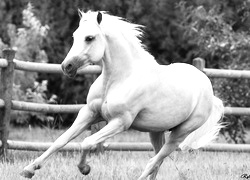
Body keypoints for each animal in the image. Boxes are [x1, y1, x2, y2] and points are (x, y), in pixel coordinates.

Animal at [20, 10, 224, 179]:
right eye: (75, 36)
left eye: (89, 38)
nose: (66, 66)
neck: (118, 79)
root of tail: (208, 88)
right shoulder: (89, 113)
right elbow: (61, 140)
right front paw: (29, 169)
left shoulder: (120, 122)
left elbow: (87, 142)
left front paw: (84, 168)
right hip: (156, 131)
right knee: (157, 162)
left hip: (180, 134)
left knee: (153, 162)